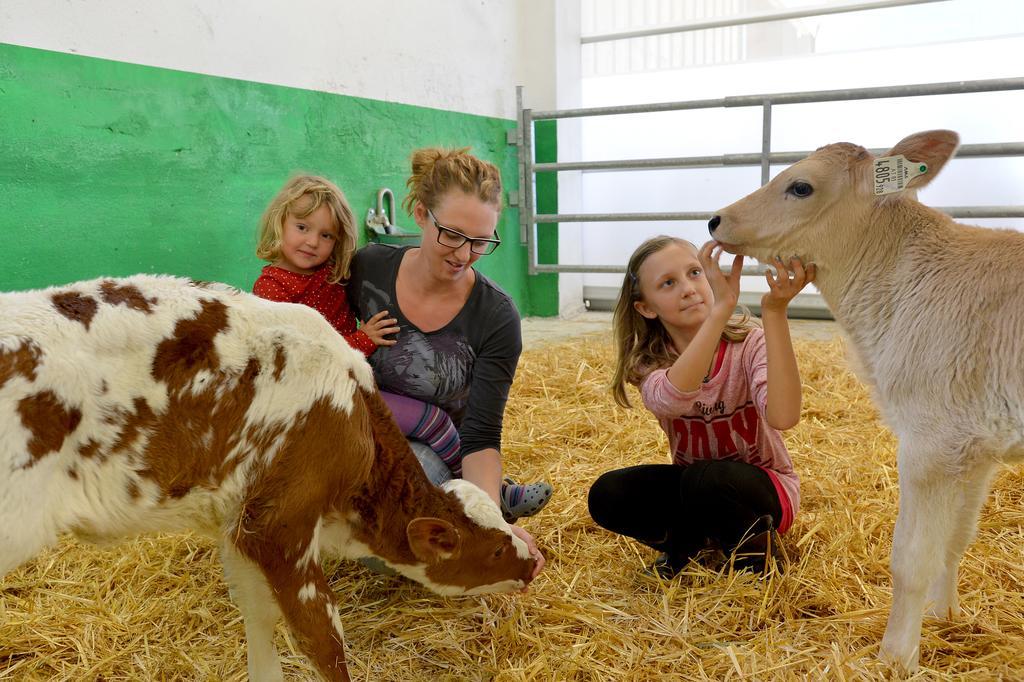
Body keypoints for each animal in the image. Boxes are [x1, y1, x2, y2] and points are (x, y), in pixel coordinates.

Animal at [0, 274, 540, 675]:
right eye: (495, 549)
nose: (533, 564)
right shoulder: (280, 523)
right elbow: (321, 638)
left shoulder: (239, 522)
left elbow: (257, 613)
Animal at [708, 129, 1024, 667]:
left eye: (800, 186)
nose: (716, 218)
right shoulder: (978, 447)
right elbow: (956, 539)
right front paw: (947, 618)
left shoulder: (930, 441)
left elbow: (912, 557)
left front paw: (896, 657)